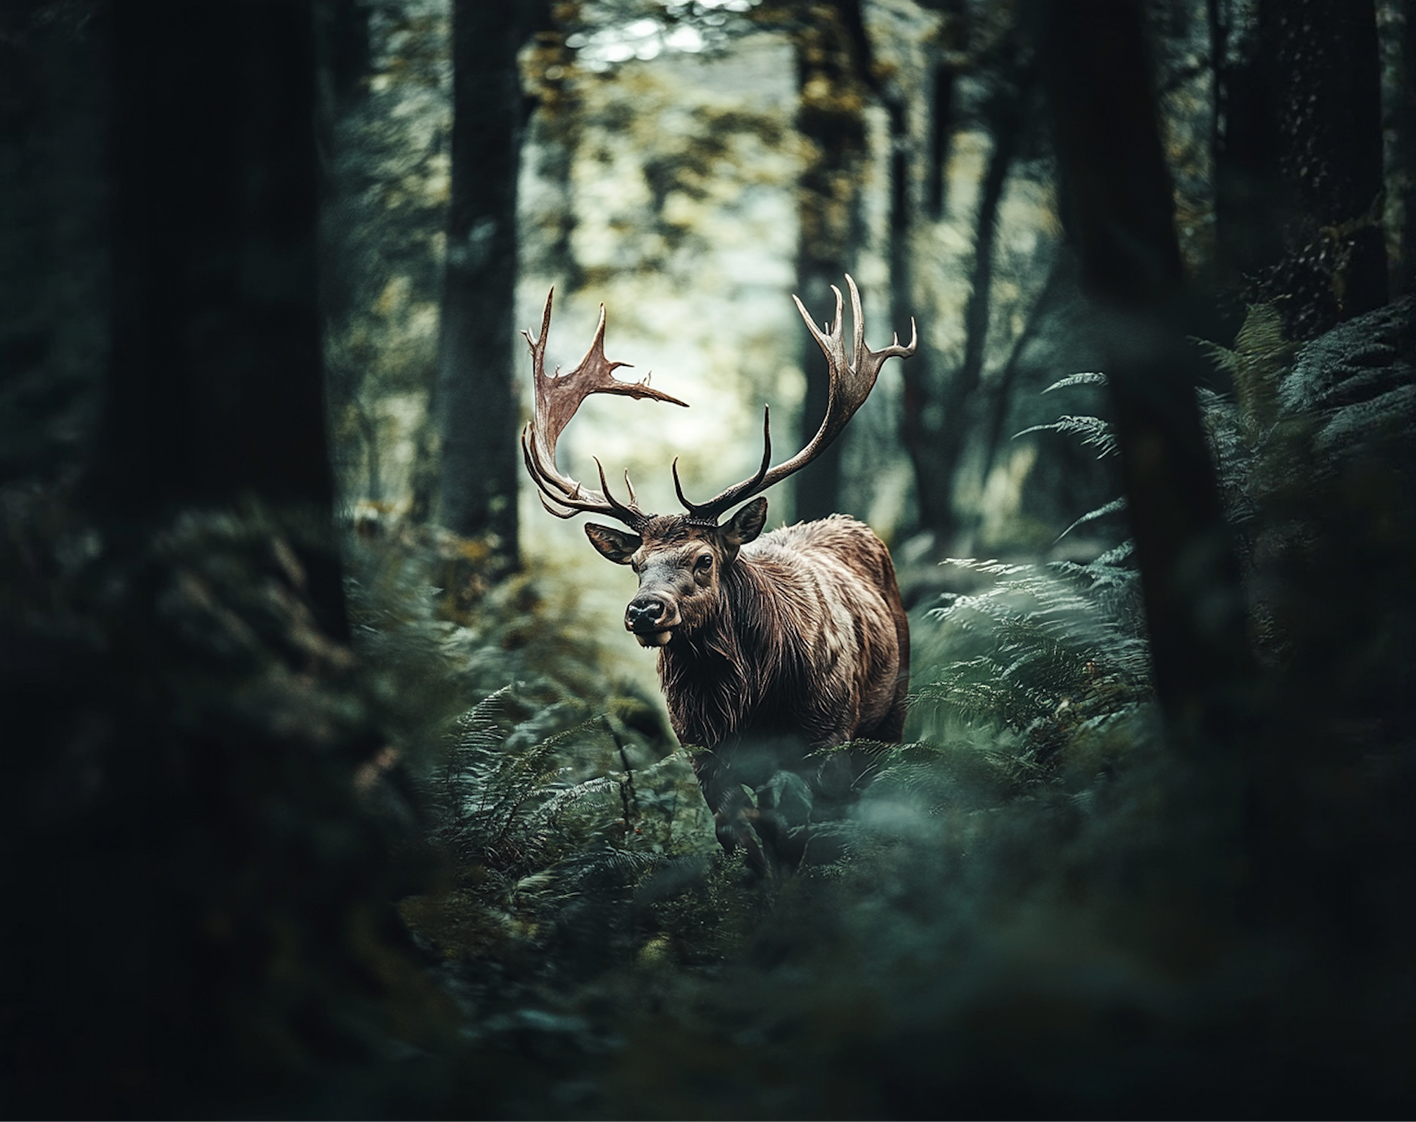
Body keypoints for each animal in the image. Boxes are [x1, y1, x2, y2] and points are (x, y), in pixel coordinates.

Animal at [520, 276, 916, 875]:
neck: (745, 703)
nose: (645, 610)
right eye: (636, 565)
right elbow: (741, 836)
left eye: (704, 559)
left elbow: (803, 836)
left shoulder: (826, 737)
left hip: (891, 708)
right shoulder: (700, 751)